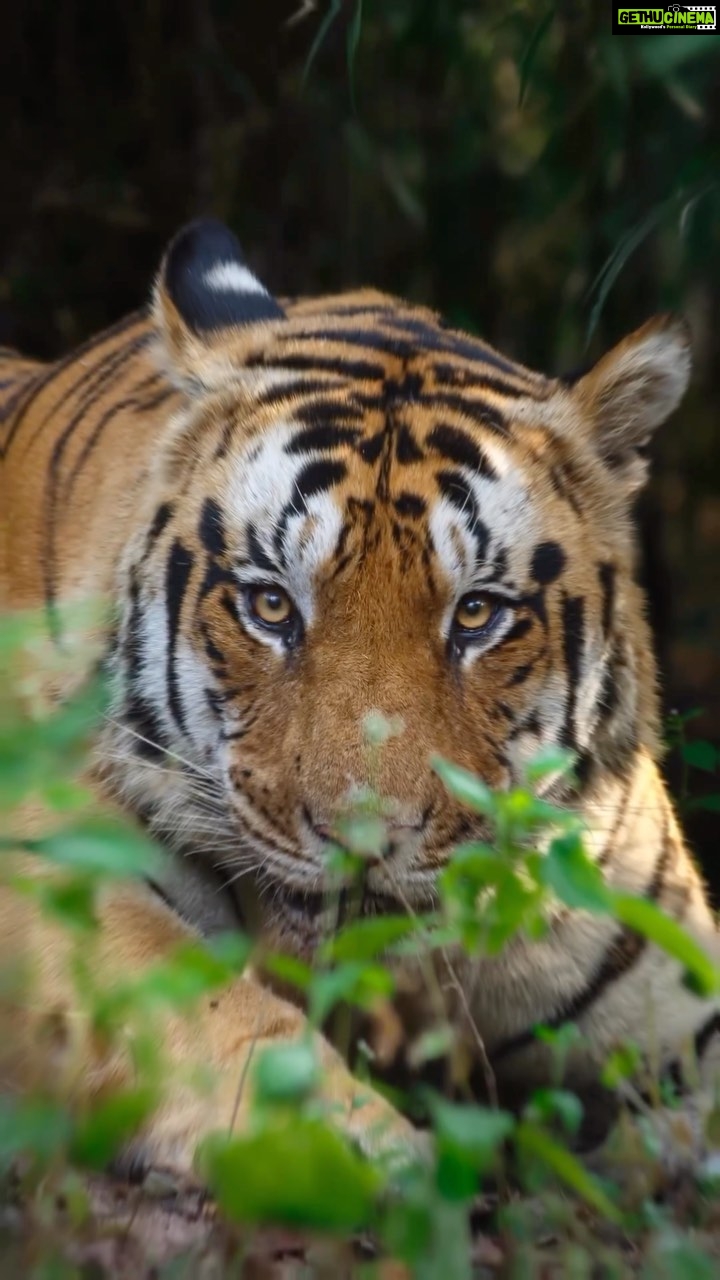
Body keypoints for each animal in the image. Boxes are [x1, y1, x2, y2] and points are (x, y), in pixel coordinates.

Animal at [1, 216, 719, 1185]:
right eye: (271, 605)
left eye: (477, 614)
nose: (362, 840)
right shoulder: (43, 870)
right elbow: (216, 1014)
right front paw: (375, 1155)